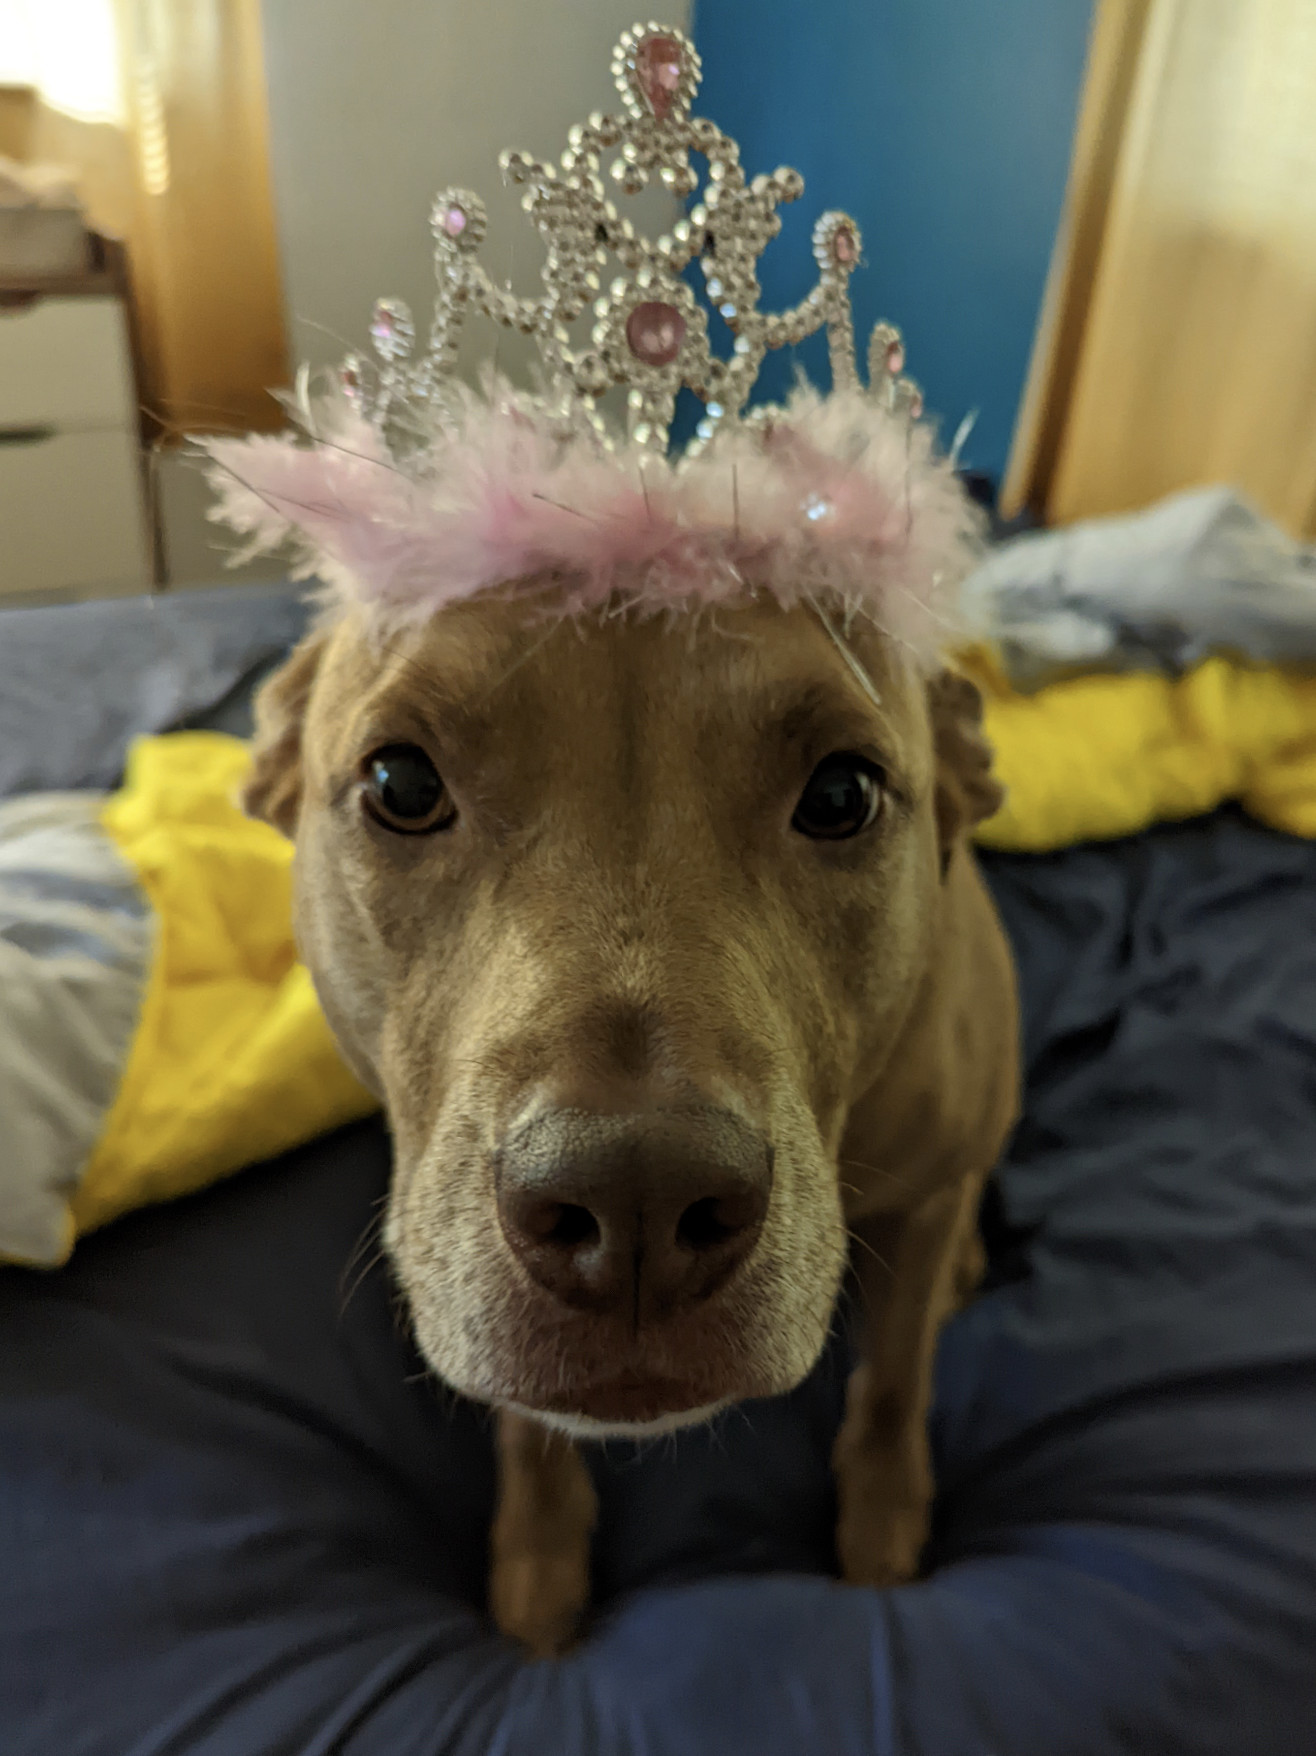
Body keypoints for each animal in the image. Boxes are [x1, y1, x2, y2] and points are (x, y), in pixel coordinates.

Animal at [244, 582, 1019, 1650]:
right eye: (400, 784)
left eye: (841, 796)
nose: (638, 1201)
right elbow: (528, 1433)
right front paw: (537, 1566)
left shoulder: (925, 1196)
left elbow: (896, 1381)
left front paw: (884, 1526)